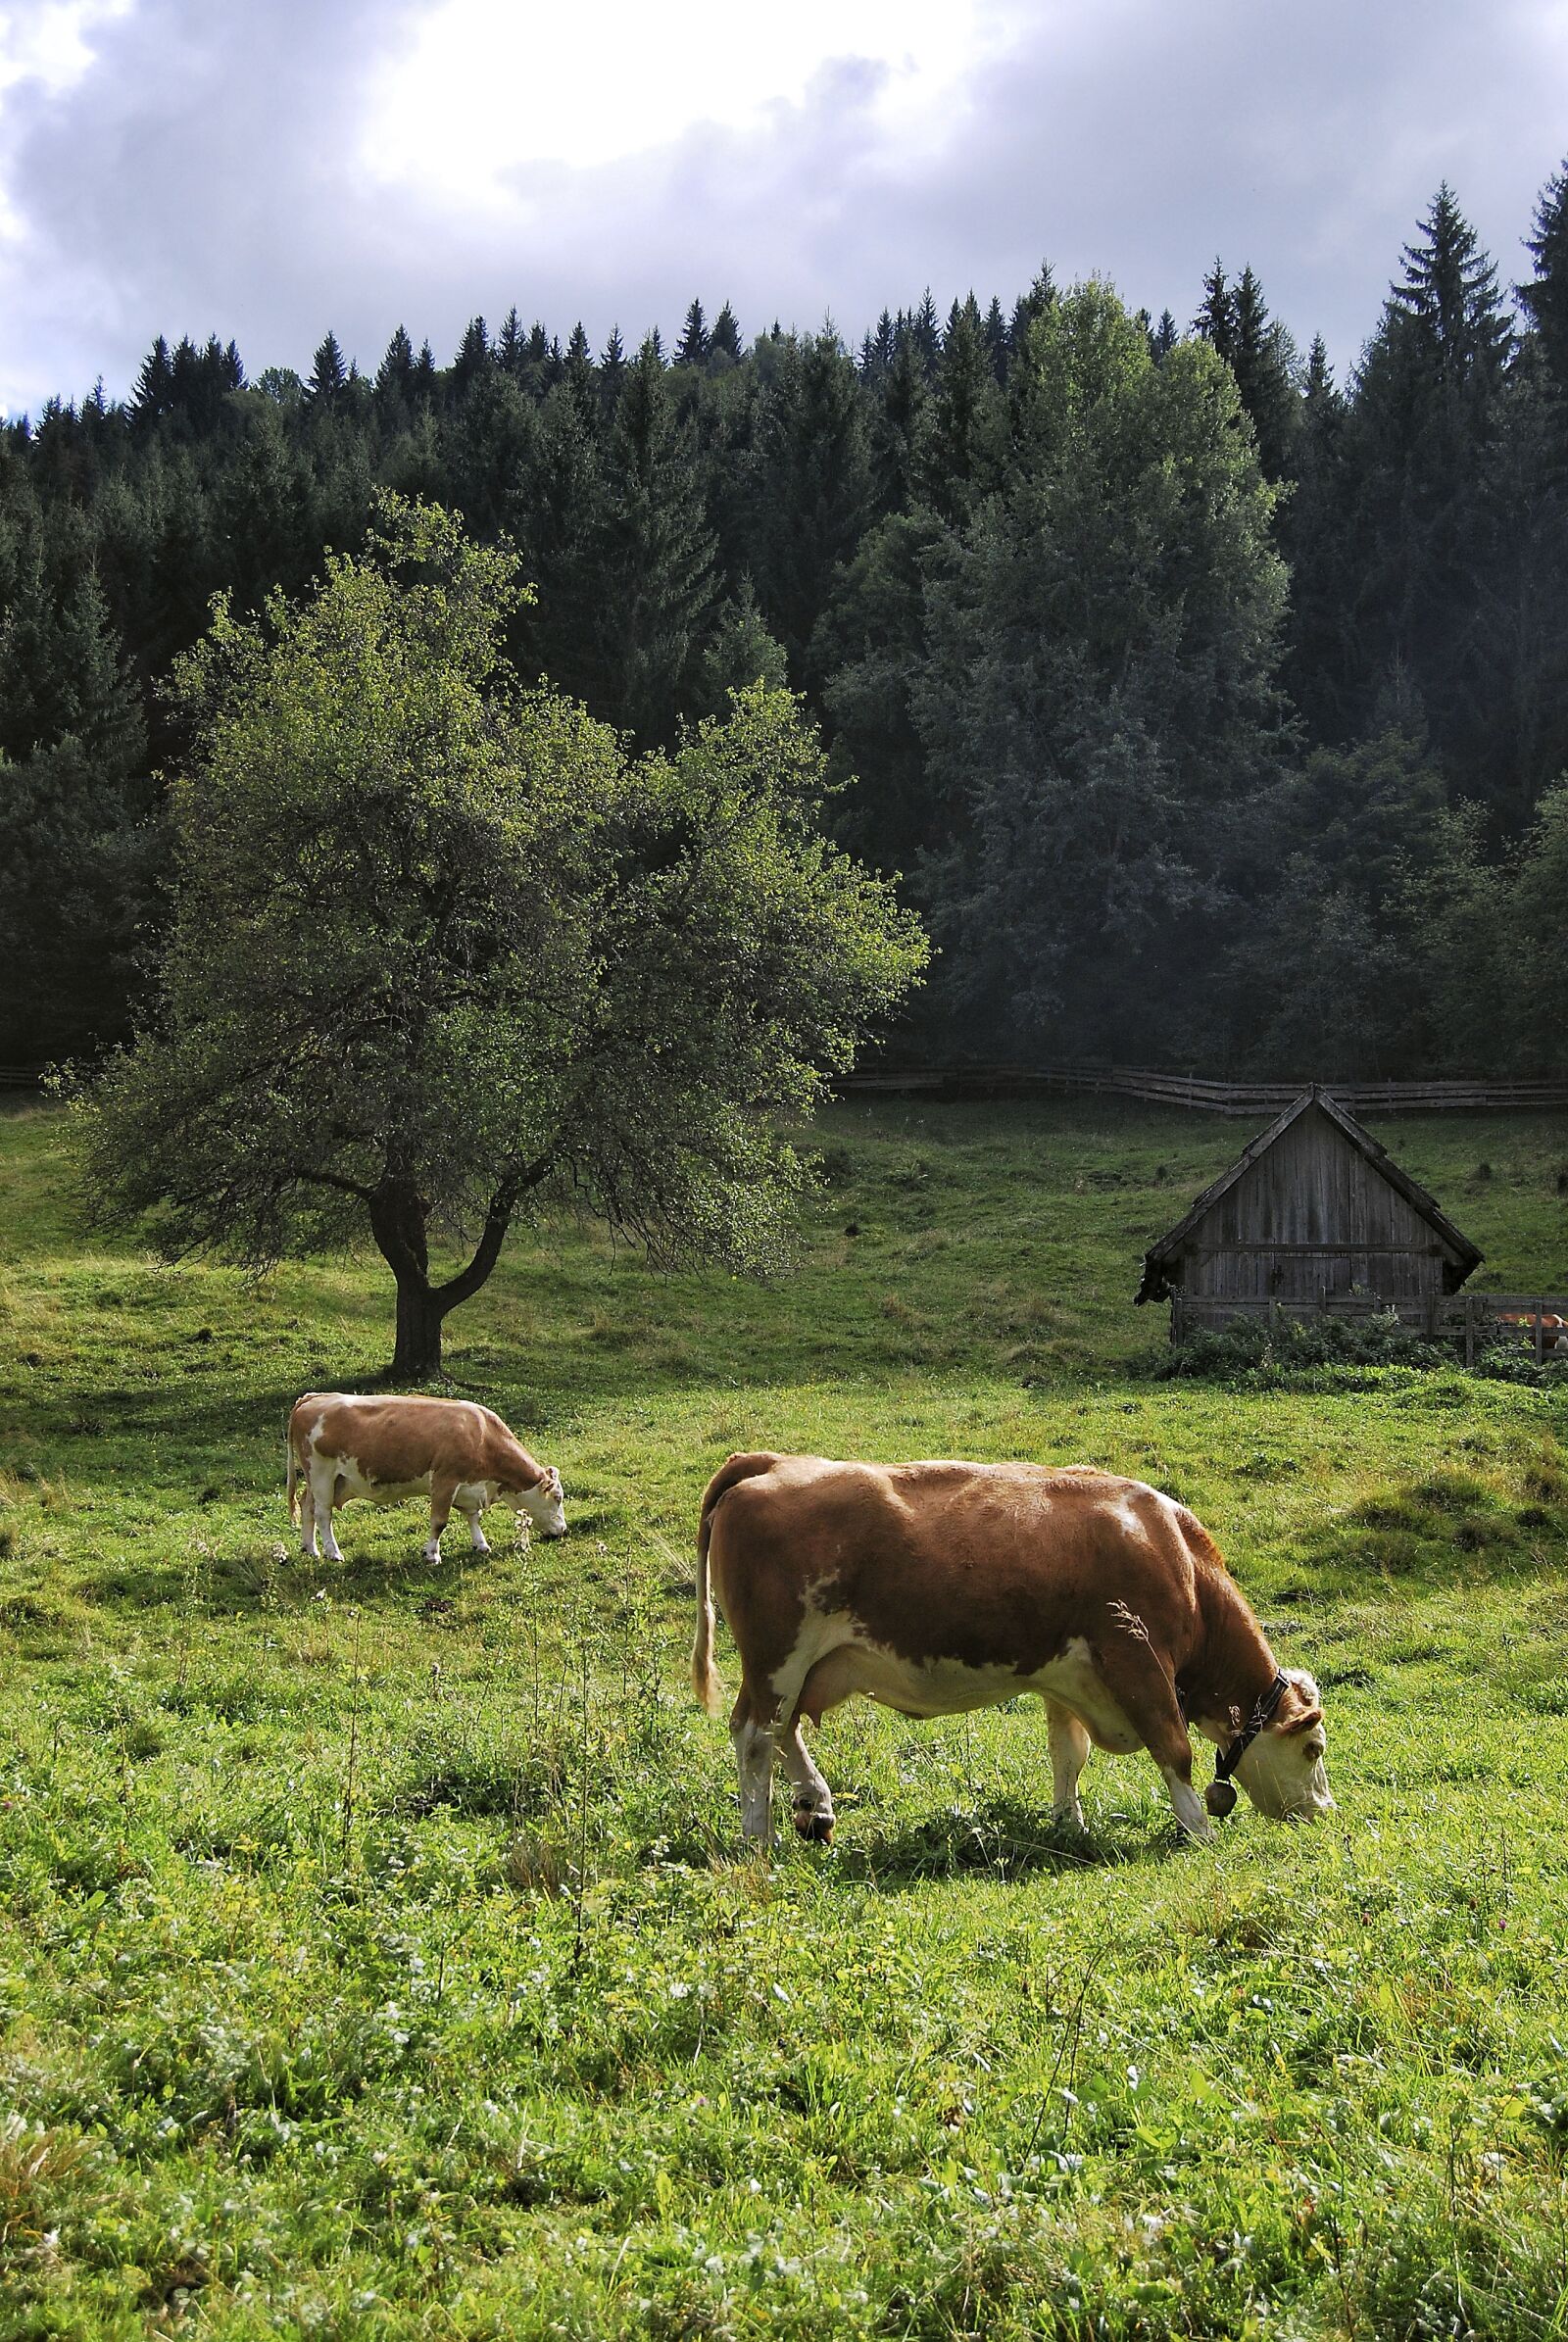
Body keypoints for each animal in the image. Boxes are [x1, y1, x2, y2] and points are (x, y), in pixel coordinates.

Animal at [286, 1392, 566, 1563]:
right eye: (557, 1497)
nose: (563, 1529)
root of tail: (314, 1397)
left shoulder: (469, 1487)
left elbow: (473, 1517)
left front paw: (481, 1544)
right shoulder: (445, 1481)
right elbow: (439, 1522)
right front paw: (432, 1554)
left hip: (324, 1480)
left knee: (307, 1505)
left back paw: (310, 1548)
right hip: (322, 1474)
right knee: (323, 1513)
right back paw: (333, 1552)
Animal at [692, 1453, 1331, 1847]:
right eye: (1314, 1748)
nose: (1324, 1812)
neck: (1174, 1552)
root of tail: (771, 1462)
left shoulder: (1069, 1678)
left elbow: (1068, 1754)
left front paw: (1069, 1824)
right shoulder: (1138, 1662)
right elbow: (1175, 1750)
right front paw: (1198, 1828)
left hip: (804, 1668)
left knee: (783, 1730)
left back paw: (816, 1806)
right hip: (777, 1657)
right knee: (755, 1735)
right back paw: (760, 1838)